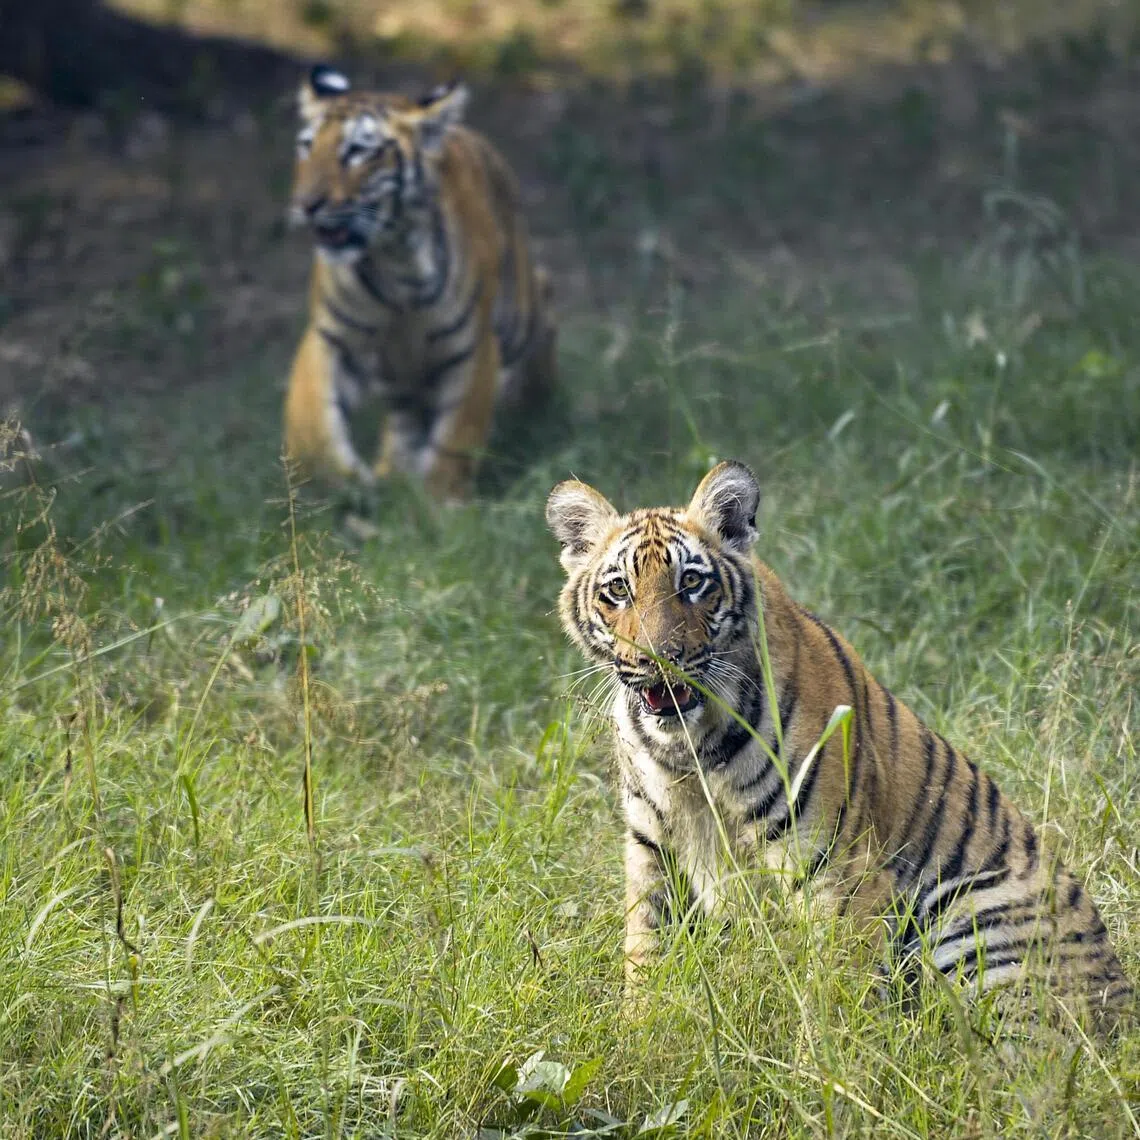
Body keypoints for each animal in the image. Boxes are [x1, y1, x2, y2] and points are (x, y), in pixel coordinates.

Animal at [284, 66, 556, 501]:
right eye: (307, 146)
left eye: (357, 151)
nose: (306, 204)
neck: (396, 261)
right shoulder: (330, 336)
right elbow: (313, 427)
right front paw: (345, 486)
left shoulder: (475, 347)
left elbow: (456, 437)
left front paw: (439, 503)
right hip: (401, 378)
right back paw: (391, 472)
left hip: (520, 314)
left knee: (546, 306)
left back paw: (537, 407)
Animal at [546, 460, 1133, 1024]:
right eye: (618, 589)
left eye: (691, 582)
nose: (656, 659)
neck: (688, 750)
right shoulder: (653, 851)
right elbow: (646, 959)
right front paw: (637, 1032)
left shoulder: (835, 868)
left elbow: (834, 992)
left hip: (973, 910)